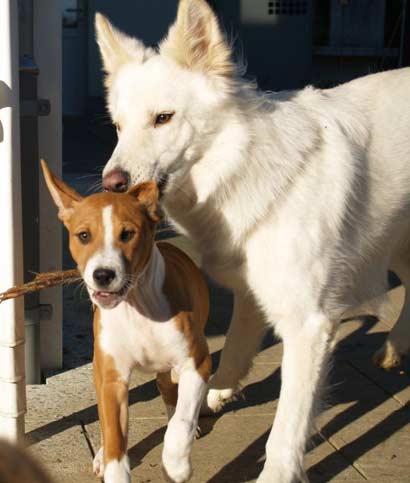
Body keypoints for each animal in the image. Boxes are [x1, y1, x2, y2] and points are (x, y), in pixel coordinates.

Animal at [41, 160, 211, 483]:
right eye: (83, 236)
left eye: (128, 234)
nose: (103, 275)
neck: (137, 308)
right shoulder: (111, 377)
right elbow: (114, 438)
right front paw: (111, 463)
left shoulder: (197, 362)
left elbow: (182, 417)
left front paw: (176, 461)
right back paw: (99, 455)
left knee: (171, 395)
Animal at [96, 0, 410, 481]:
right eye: (117, 126)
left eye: (163, 118)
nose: (111, 184)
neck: (242, 164)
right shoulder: (252, 290)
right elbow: (235, 346)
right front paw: (215, 394)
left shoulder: (309, 325)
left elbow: (288, 424)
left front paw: (276, 470)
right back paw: (394, 347)